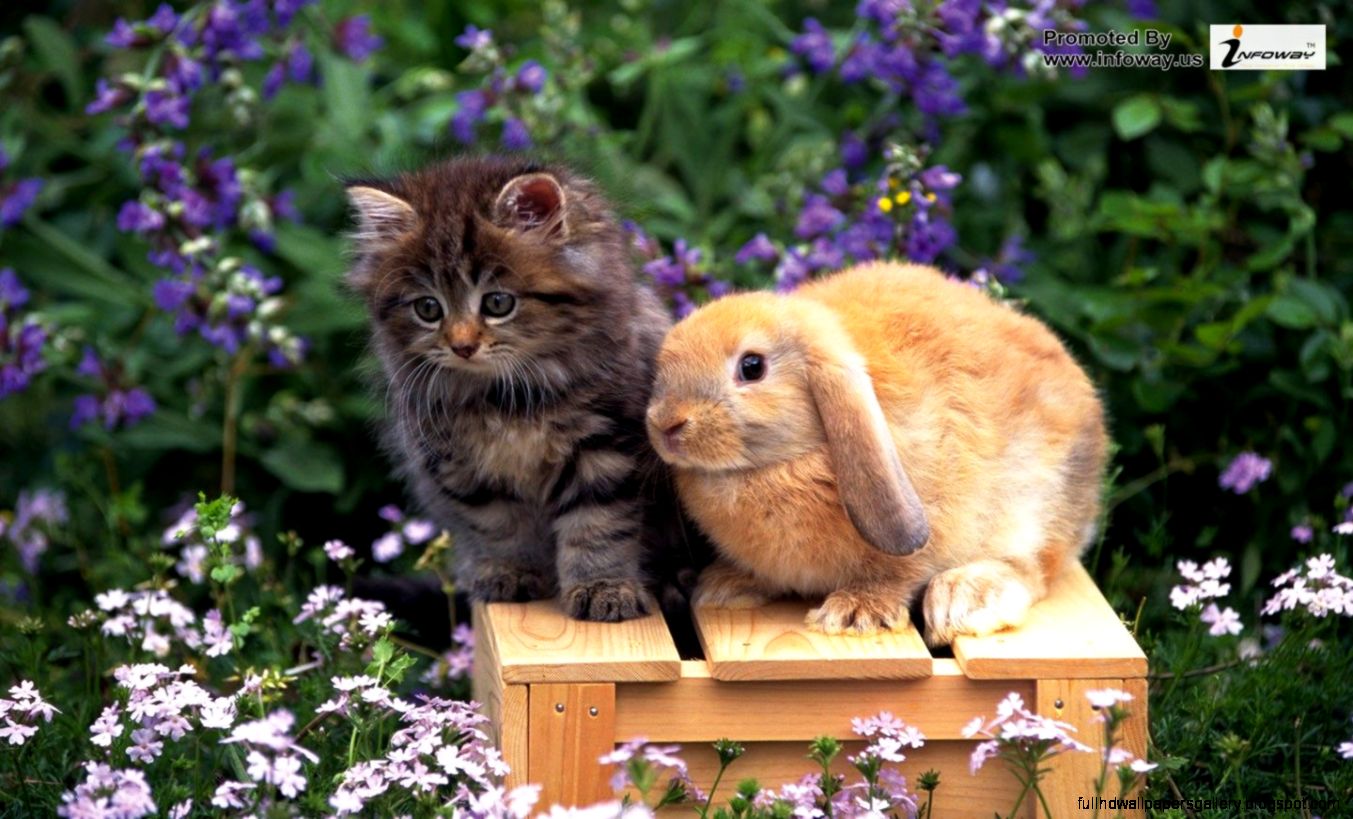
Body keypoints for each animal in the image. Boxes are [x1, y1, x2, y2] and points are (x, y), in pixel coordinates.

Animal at [645, 261, 1108, 646]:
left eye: (752, 366)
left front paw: (855, 613)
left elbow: (899, 574)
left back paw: (964, 599)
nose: (665, 423)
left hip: (1037, 505)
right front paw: (727, 586)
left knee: (1033, 568)